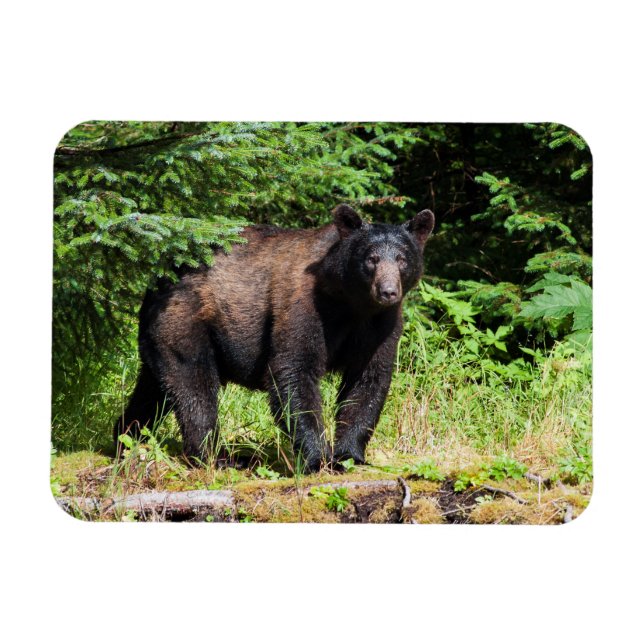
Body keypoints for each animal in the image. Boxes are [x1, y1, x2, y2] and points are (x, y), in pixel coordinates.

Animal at [114, 204, 435, 472]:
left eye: (402, 259)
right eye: (371, 259)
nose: (388, 291)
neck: (351, 304)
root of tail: (158, 280)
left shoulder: (380, 325)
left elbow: (367, 380)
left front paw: (349, 455)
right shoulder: (304, 306)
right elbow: (294, 370)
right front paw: (318, 459)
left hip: (162, 336)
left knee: (154, 389)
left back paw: (126, 436)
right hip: (186, 320)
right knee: (194, 386)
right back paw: (218, 457)